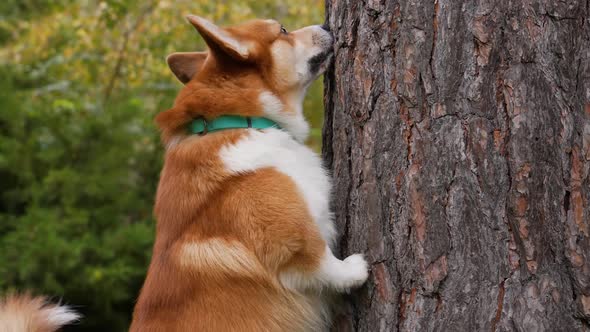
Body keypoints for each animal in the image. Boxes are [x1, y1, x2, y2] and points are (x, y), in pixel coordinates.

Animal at [131, 14, 370, 330]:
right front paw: (355, 269)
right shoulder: (289, 240)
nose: (327, 25)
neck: (239, 120)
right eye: (283, 30)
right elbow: (321, 260)